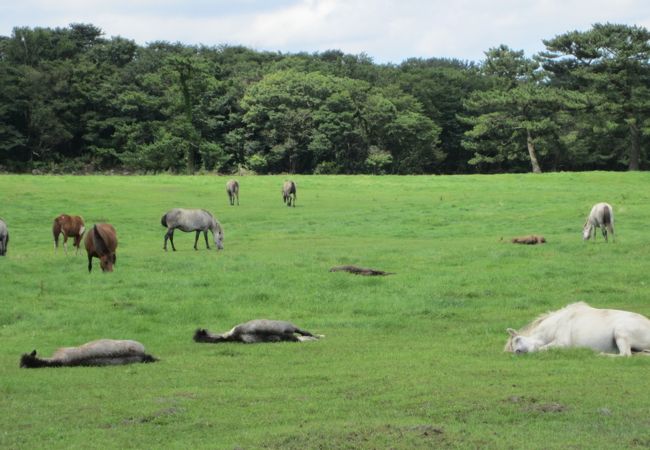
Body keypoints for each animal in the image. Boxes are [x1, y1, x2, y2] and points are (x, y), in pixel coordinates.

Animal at [504, 302, 648, 358]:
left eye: (518, 339)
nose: (517, 352)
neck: (556, 323)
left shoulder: (561, 343)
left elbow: (542, 349)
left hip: (620, 331)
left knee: (625, 355)